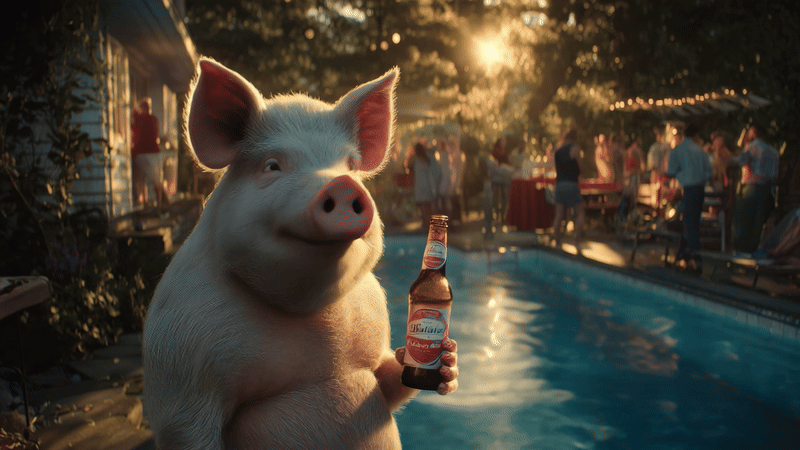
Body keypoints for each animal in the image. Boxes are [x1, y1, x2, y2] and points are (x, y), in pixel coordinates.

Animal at [142, 58, 458, 449]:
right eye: (272, 166)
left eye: (350, 166)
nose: (342, 184)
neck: (311, 311)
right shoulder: (180, 362)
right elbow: (188, 431)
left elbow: (390, 379)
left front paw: (447, 362)